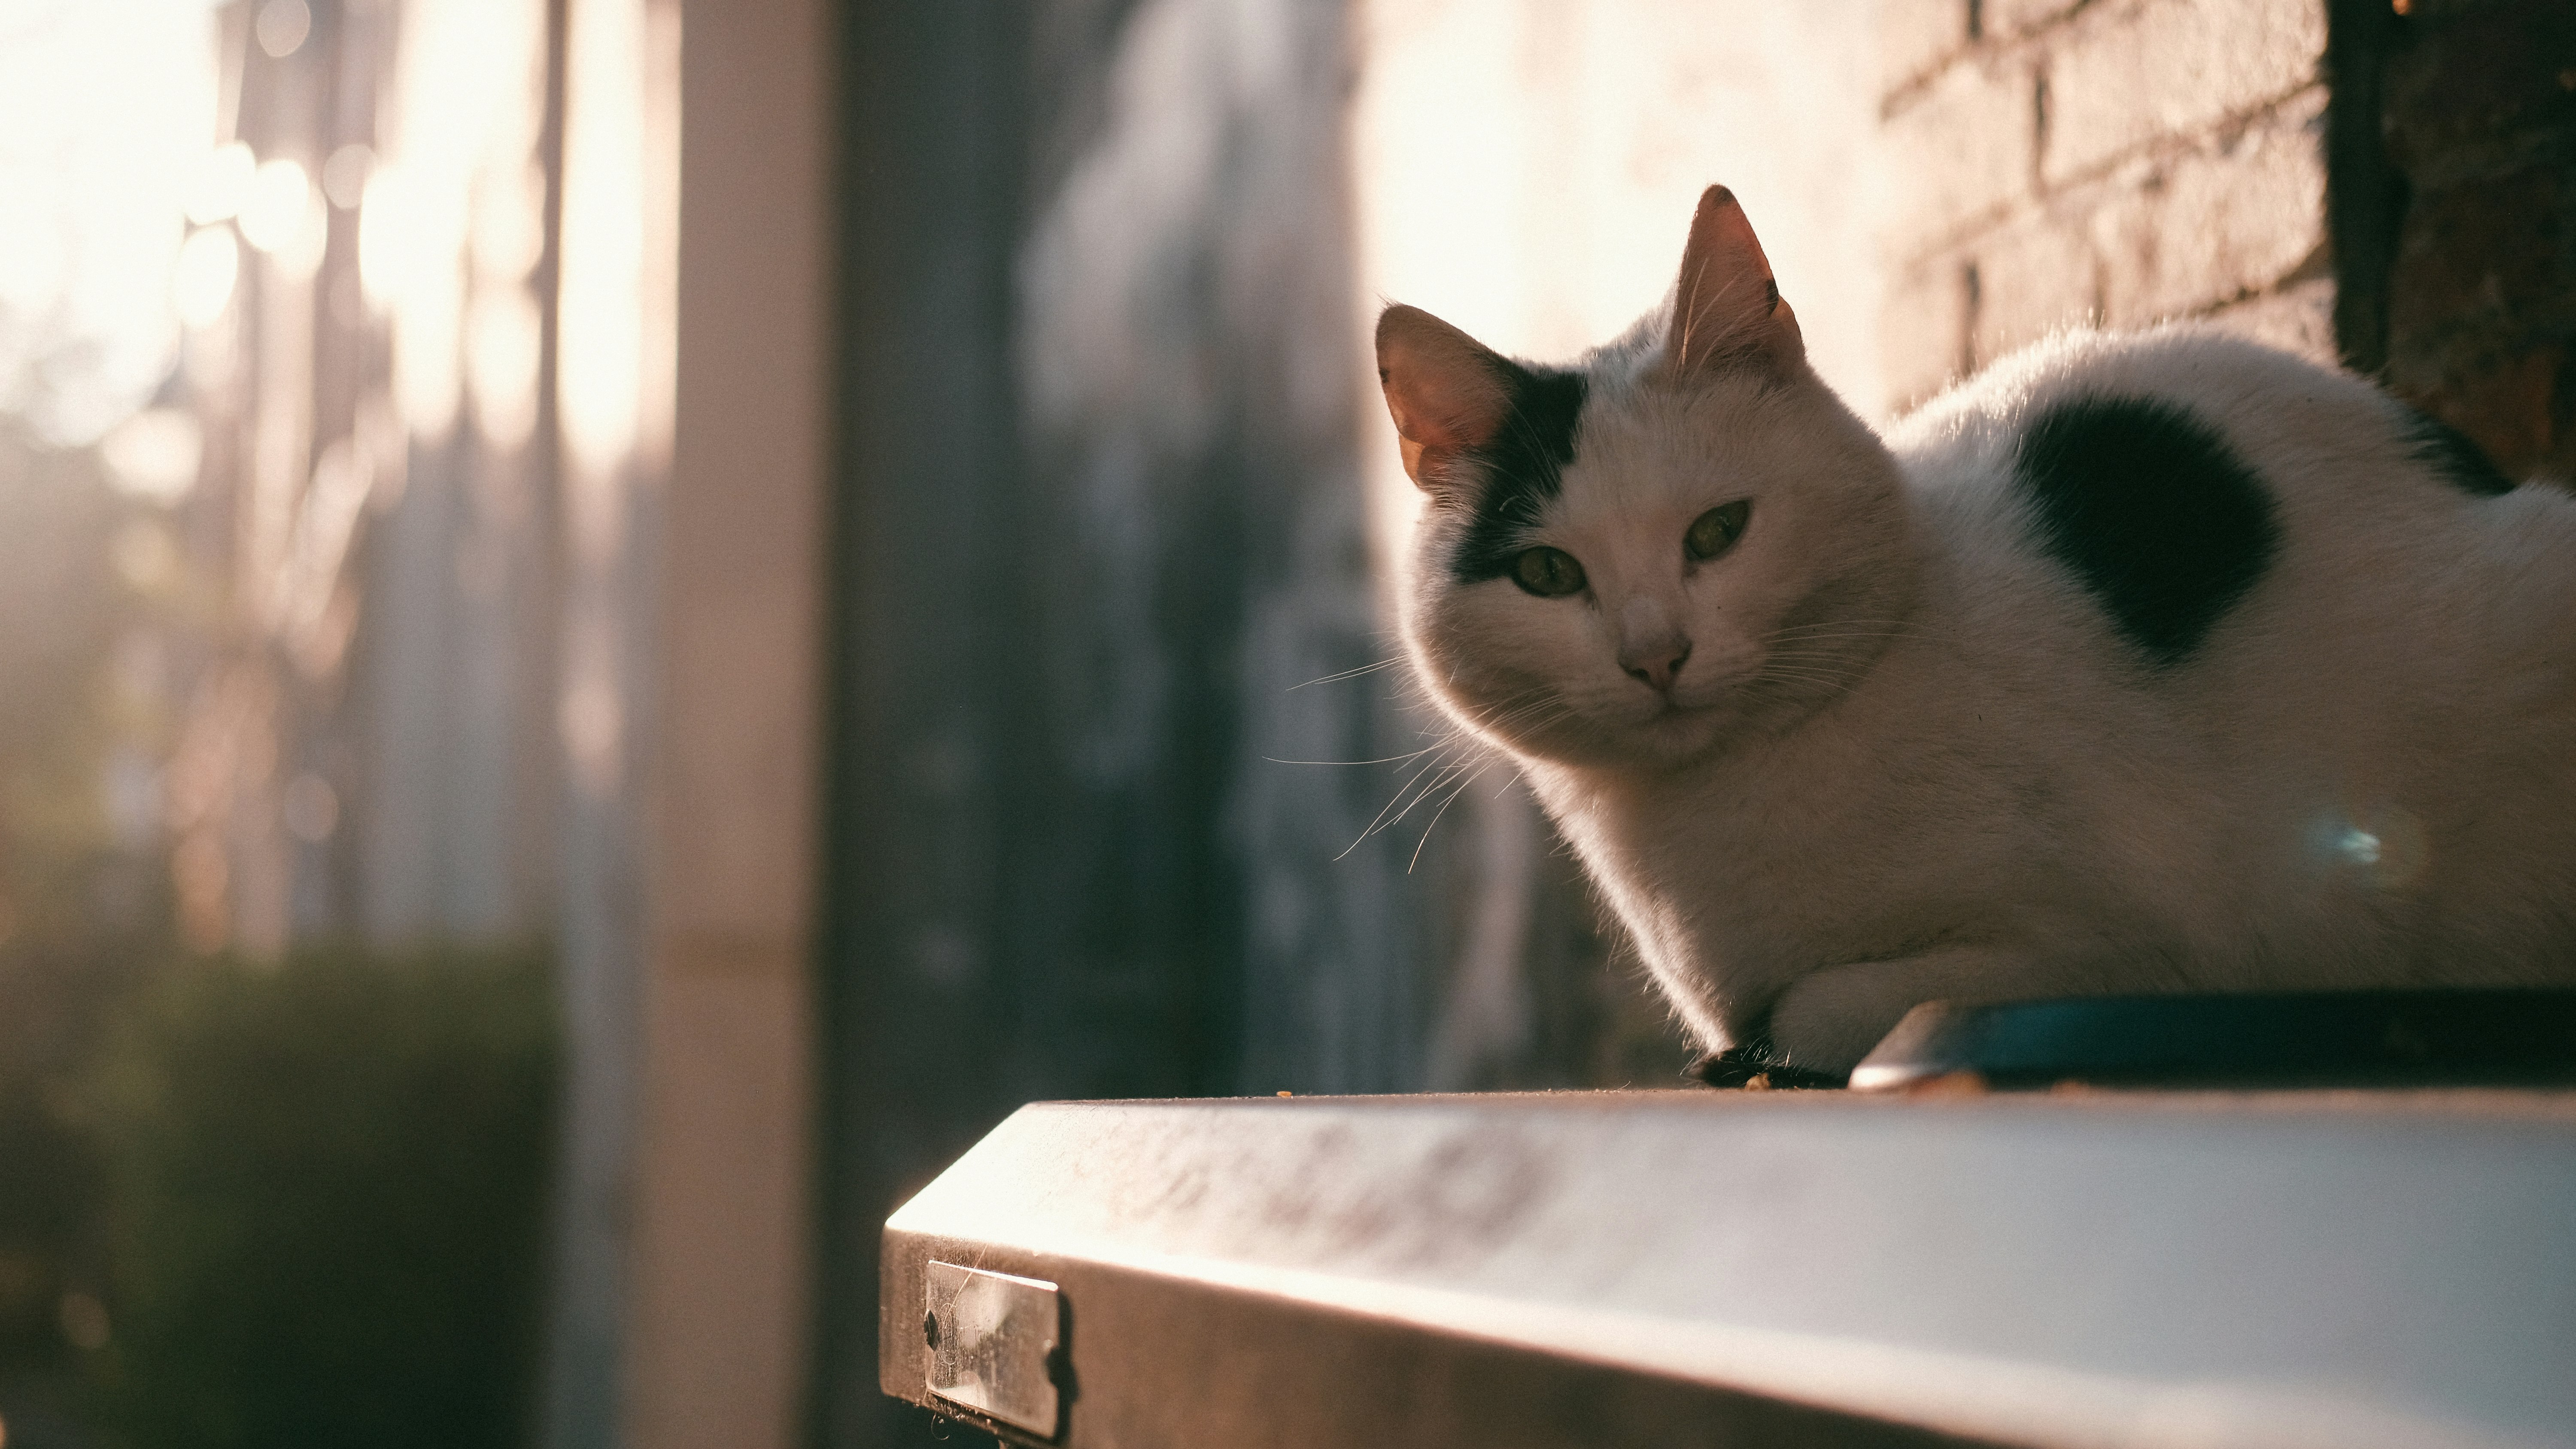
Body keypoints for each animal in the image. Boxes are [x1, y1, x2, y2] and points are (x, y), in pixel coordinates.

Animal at [1381, 185, 2576, 1078]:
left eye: (1719, 532)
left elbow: (1819, 1007)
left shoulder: (2137, 946)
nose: (1655, 656)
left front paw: (1765, 1046)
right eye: (1547, 573)